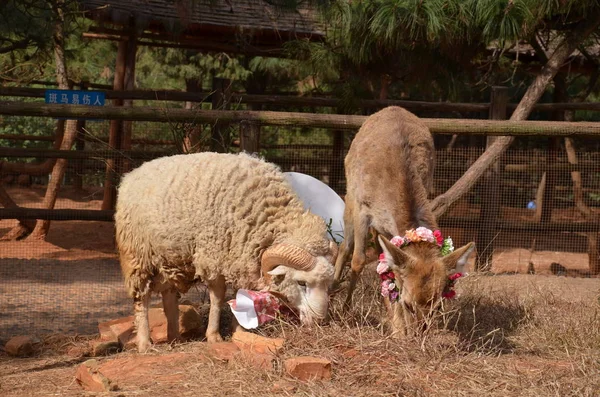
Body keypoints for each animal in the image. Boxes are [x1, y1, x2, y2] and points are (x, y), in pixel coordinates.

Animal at [113, 151, 338, 350]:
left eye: (327, 284)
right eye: (301, 283)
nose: (320, 321)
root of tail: (132, 174)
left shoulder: (241, 255)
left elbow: (239, 292)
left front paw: (240, 330)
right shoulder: (212, 254)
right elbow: (218, 297)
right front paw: (214, 335)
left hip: (170, 257)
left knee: (168, 295)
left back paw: (175, 337)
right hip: (137, 256)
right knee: (142, 299)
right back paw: (145, 344)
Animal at [330, 106, 476, 336]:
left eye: (436, 306)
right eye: (409, 304)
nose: (417, 335)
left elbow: (391, 270)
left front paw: (396, 325)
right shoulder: (362, 208)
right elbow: (358, 260)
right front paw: (346, 312)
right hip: (350, 197)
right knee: (345, 246)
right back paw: (333, 292)